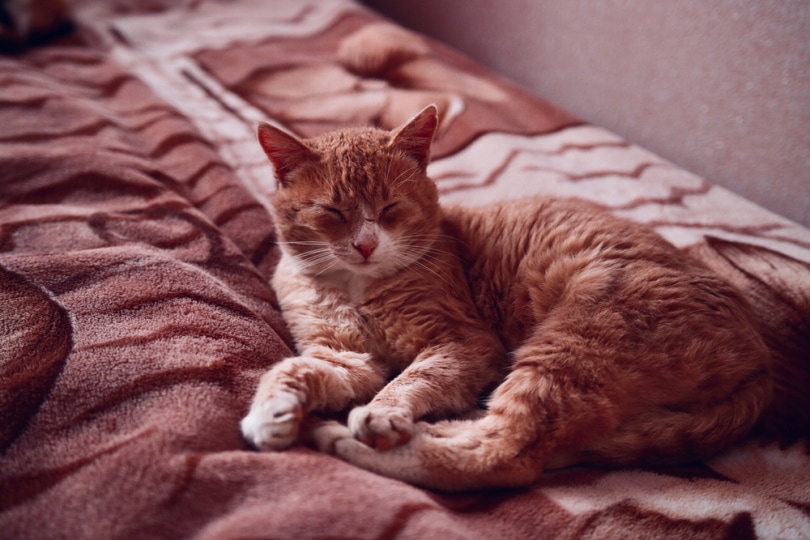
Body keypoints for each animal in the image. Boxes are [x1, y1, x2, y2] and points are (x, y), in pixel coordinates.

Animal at [240, 103, 772, 492]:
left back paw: (341, 435)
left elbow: (411, 379)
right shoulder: (345, 356)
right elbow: (290, 369)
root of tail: (761, 357)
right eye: (332, 212)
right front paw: (272, 414)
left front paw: (383, 411)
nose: (366, 245)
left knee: (504, 455)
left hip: (571, 344)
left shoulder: (463, 343)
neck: (355, 287)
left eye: (391, 207)